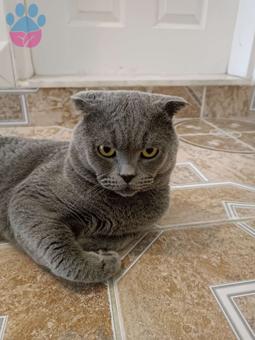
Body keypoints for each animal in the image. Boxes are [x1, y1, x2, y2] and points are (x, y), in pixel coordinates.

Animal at [0, 91, 187, 284]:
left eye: (149, 152)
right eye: (106, 150)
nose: (127, 175)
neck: (117, 208)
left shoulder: (138, 228)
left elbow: (121, 238)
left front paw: (88, 241)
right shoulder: (29, 198)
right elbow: (59, 249)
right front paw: (104, 263)